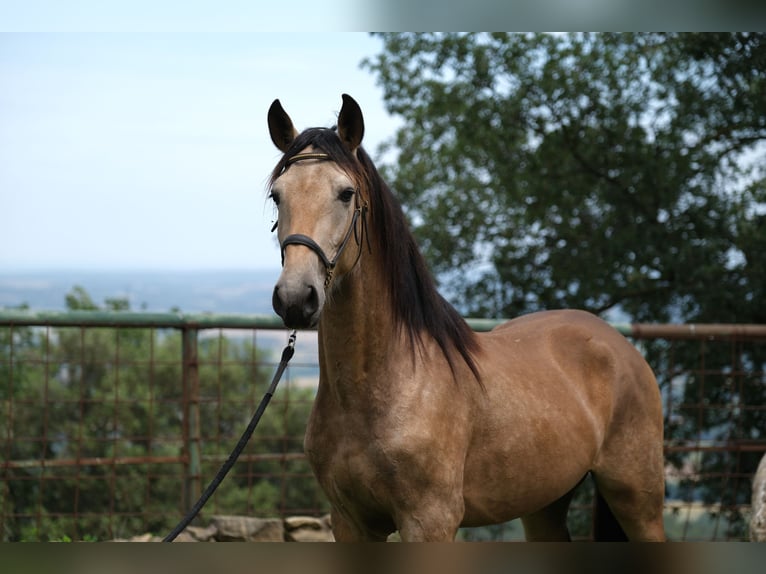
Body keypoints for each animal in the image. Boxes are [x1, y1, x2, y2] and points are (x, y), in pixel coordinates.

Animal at [264, 94, 664, 544]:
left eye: (346, 194)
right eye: (277, 195)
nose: (295, 297)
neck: (383, 384)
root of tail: (621, 345)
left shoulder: (430, 521)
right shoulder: (350, 522)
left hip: (638, 499)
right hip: (544, 504)